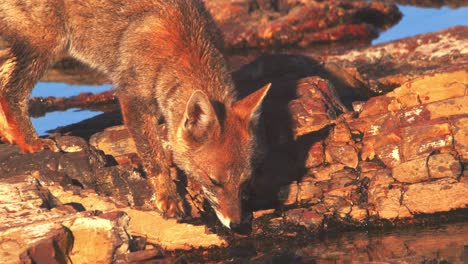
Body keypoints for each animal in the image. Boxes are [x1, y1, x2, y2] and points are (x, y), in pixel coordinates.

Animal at [0, 0, 268, 231]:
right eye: (214, 182)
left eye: (244, 183)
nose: (237, 224)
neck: (183, 49)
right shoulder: (132, 99)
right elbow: (153, 157)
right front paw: (167, 196)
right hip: (46, 45)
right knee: (9, 92)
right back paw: (31, 142)